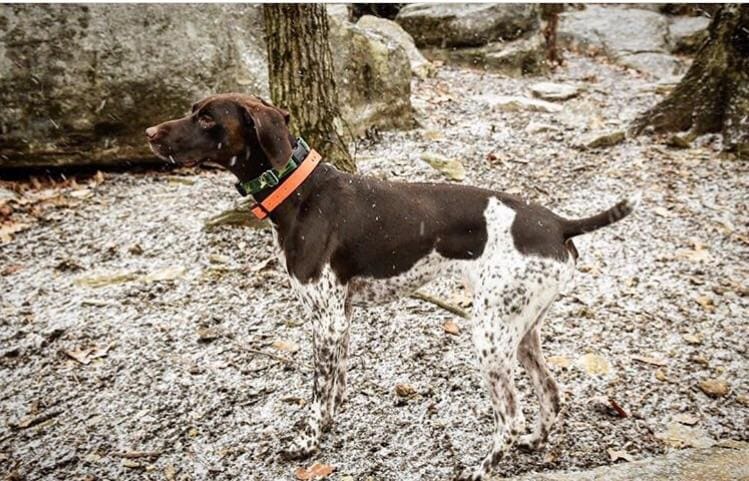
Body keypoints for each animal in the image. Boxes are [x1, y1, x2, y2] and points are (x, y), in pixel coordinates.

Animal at [148, 94, 636, 480]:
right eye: (193, 111)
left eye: (207, 119)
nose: (150, 133)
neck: (298, 192)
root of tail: (558, 223)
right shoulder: (339, 317)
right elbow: (335, 385)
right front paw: (328, 428)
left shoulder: (326, 320)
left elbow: (316, 393)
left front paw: (307, 443)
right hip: (520, 329)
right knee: (550, 392)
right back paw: (534, 441)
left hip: (489, 335)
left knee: (511, 415)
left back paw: (482, 468)